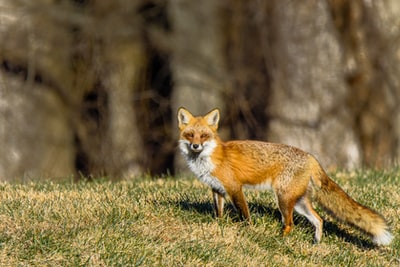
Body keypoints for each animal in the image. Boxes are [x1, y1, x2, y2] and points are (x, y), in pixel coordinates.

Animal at [177, 107, 394, 247]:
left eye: (204, 136)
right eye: (190, 135)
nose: (195, 146)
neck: (211, 157)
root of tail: (310, 156)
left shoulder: (234, 187)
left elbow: (244, 213)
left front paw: (247, 230)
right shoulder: (217, 189)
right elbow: (218, 212)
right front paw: (219, 225)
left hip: (283, 198)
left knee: (290, 224)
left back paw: (280, 239)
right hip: (298, 202)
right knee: (318, 220)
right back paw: (315, 243)